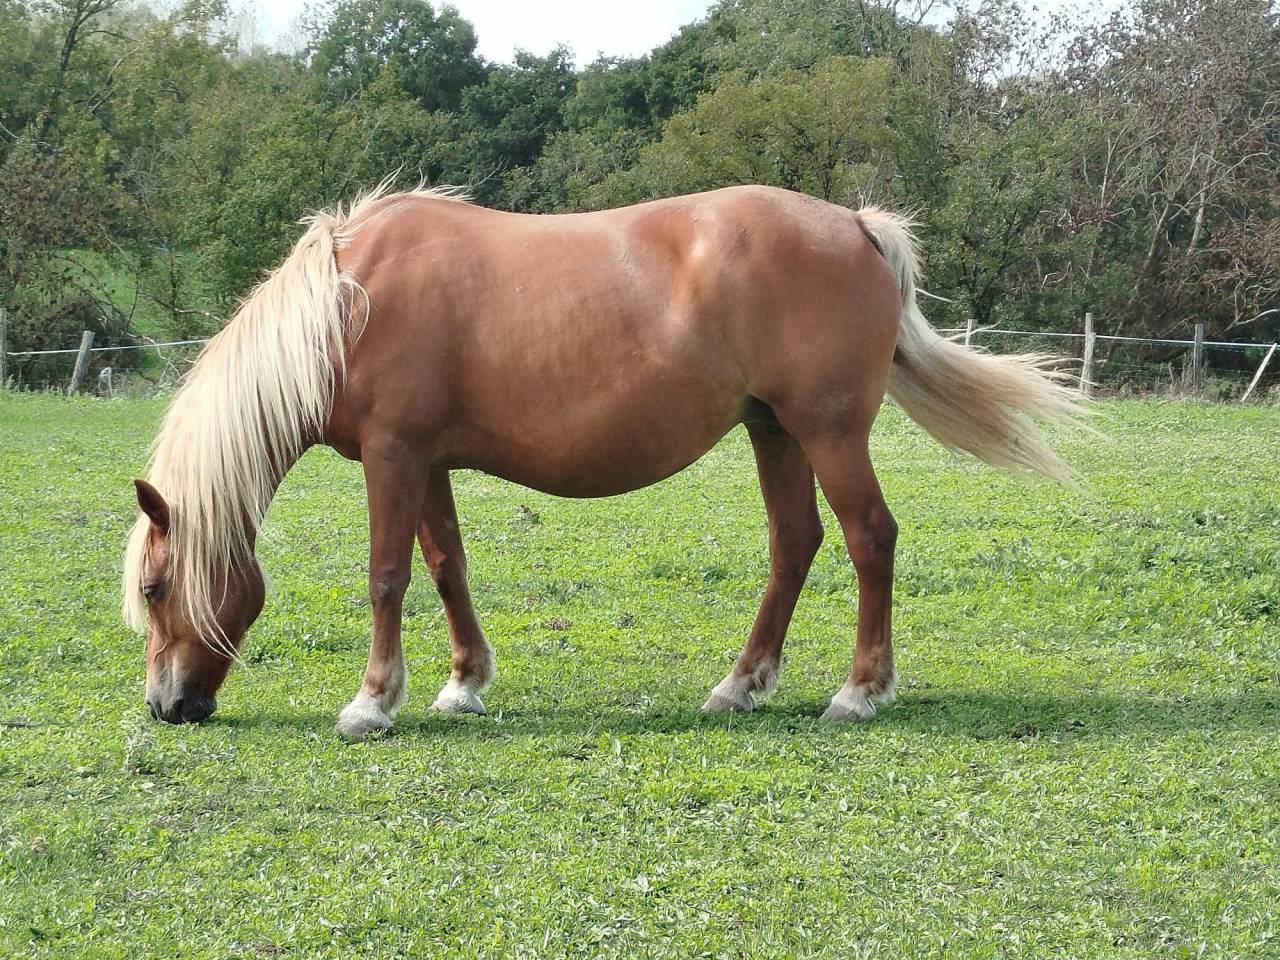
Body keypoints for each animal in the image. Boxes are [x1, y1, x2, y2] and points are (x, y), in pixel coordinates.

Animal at [123, 182, 1083, 736]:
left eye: (156, 588)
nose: (168, 709)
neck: (347, 302)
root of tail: (854, 222)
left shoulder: (393, 457)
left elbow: (387, 575)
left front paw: (372, 702)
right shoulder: (426, 462)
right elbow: (446, 565)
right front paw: (463, 685)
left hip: (829, 431)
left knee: (869, 539)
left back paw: (860, 690)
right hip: (775, 431)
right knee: (795, 545)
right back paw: (740, 684)